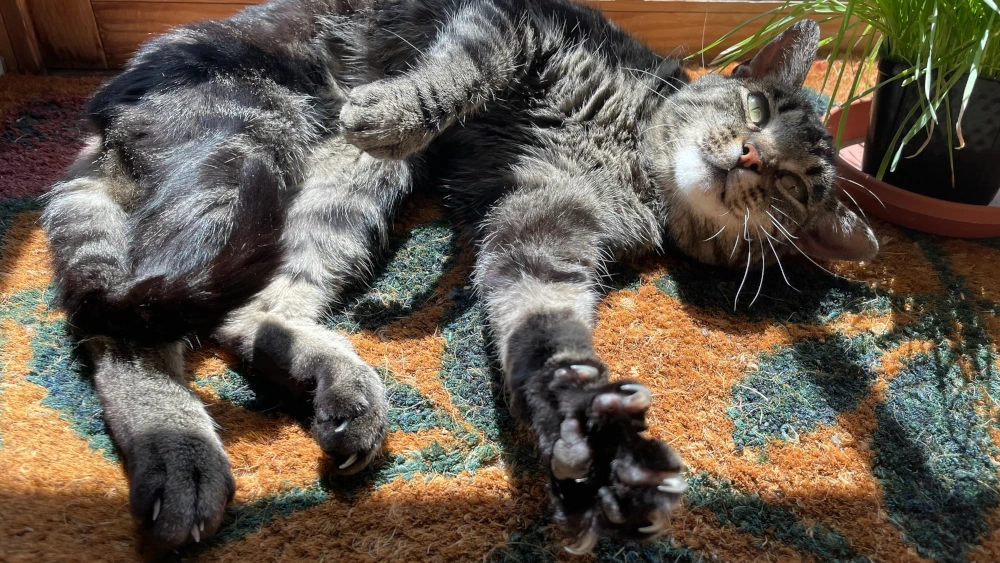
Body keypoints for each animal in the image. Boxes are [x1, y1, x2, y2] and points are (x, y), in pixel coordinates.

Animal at [43, 0, 880, 556]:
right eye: (754, 105)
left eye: (793, 186)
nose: (748, 155)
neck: (632, 149)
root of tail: (103, 116)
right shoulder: (515, 23)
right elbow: (461, 70)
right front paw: (396, 108)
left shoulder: (540, 235)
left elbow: (548, 345)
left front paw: (593, 436)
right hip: (246, 145)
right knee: (121, 329)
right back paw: (178, 452)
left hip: (328, 190)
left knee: (246, 314)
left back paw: (333, 389)